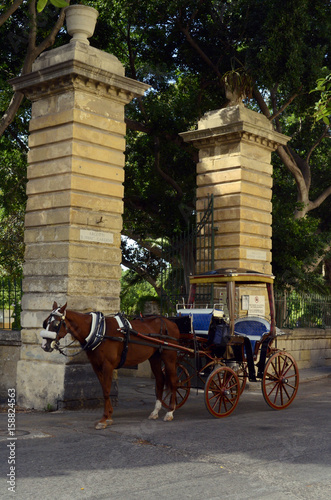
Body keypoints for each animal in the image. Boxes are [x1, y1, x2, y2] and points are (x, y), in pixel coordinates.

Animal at [41, 302, 182, 428]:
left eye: (55, 324)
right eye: (45, 322)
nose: (44, 346)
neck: (99, 331)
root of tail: (171, 323)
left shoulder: (107, 365)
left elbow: (107, 390)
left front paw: (104, 419)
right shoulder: (96, 366)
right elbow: (104, 389)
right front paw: (108, 415)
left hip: (169, 357)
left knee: (173, 381)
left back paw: (170, 411)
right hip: (155, 358)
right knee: (160, 380)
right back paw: (155, 411)